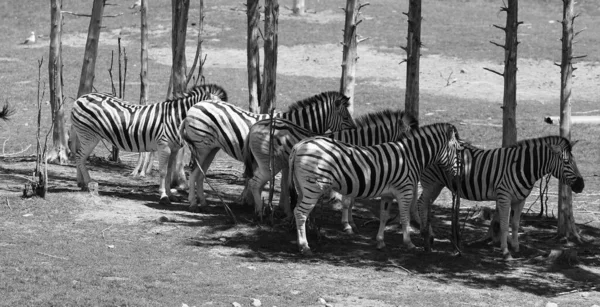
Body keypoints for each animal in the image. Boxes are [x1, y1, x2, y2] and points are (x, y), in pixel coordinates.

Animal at [69, 84, 227, 205]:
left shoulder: (174, 149)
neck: (175, 118)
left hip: (84, 135)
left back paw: (81, 183)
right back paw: (88, 183)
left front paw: (170, 195)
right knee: (80, 157)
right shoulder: (164, 146)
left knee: (78, 156)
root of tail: (81, 97)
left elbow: (169, 171)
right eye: (215, 110)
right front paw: (163, 196)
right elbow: (163, 172)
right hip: (89, 135)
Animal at [178, 90, 356, 213]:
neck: (295, 125)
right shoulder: (285, 158)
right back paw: (193, 203)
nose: (355, 129)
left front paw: (282, 208)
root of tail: (194, 107)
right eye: (346, 117)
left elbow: (284, 184)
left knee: (200, 174)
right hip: (201, 147)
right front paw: (284, 209)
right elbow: (285, 185)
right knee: (194, 172)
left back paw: (202, 202)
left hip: (212, 148)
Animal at [243, 109, 418, 225]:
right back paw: (259, 212)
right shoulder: (351, 172)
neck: (360, 142)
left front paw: (351, 222)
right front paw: (347, 224)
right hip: (270, 163)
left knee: (255, 182)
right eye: (407, 137)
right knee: (255, 183)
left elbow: (352, 199)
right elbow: (348, 200)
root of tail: (257, 124)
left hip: (265, 162)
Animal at [288, 122, 462, 255]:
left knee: (297, 211)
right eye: (458, 149)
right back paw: (304, 247)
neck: (411, 157)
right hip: (313, 187)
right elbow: (405, 218)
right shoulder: (404, 191)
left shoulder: (387, 195)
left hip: (302, 187)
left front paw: (380, 242)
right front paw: (409, 243)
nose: (457, 176)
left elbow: (384, 216)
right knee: (301, 212)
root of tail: (300, 145)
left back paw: (300, 241)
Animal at [382, 137, 584, 260]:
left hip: (437, 184)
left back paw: (428, 234)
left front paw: (516, 246)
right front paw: (505, 251)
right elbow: (504, 224)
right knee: (422, 203)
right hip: (432, 182)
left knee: (424, 203)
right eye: (567, 162)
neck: (523, 167)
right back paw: (426, 233)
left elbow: (515, 224)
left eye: (575, 161)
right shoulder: (504, 196)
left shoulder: (521, 199)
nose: (581, 185)